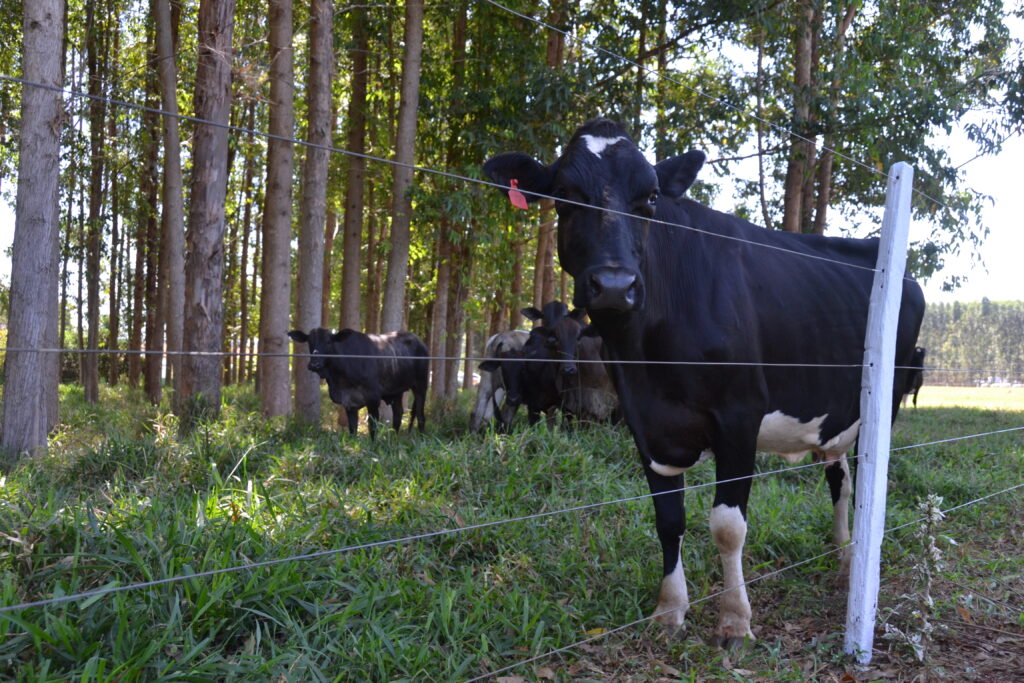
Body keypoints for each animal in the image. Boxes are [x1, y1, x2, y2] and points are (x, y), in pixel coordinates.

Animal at [288, 327, 428, 444]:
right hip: (396, 391)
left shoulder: (373, 399)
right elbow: (353, 429)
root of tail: (417, 339)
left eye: (328, 342)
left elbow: (372, 427)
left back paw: (421, 441)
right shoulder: (349, 403)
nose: (314, 364)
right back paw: (394, 440)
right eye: (309, 342)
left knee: (420, 416)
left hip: (421, 385)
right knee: (398, 415)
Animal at [483, 120, 925, 651]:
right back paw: (842, 557)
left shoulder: (739, 414)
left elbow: (728, 526)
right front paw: (670, 609)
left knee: (865, 484)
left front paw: (735, 620)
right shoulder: (644, 422)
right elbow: (667, 518)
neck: (649, 355)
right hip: (835, 411)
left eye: (651, 197)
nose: (615, 285)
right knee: (838, 478)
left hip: (887, 399)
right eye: (564, 194)